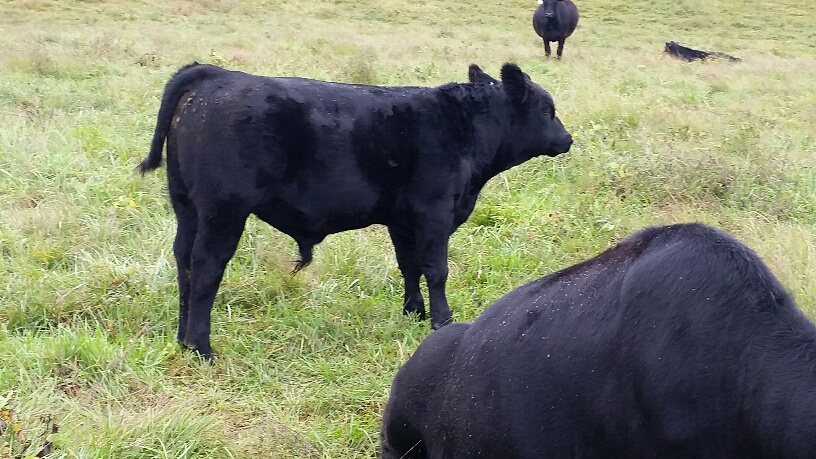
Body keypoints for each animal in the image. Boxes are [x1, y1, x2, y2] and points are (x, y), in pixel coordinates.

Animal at [137, 61, 572, 362]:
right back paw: (201, 346)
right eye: (548, 110)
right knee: (206, 267)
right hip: (223, 212)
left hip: (187, 207)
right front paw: (441, 320)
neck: (461, 128)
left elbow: (409, 266)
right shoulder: (433, 212)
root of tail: (215, 74)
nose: (568, 139)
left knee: (184, 261)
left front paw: (413, 312)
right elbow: (436, 270)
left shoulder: (402, 220)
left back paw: (183, 338)